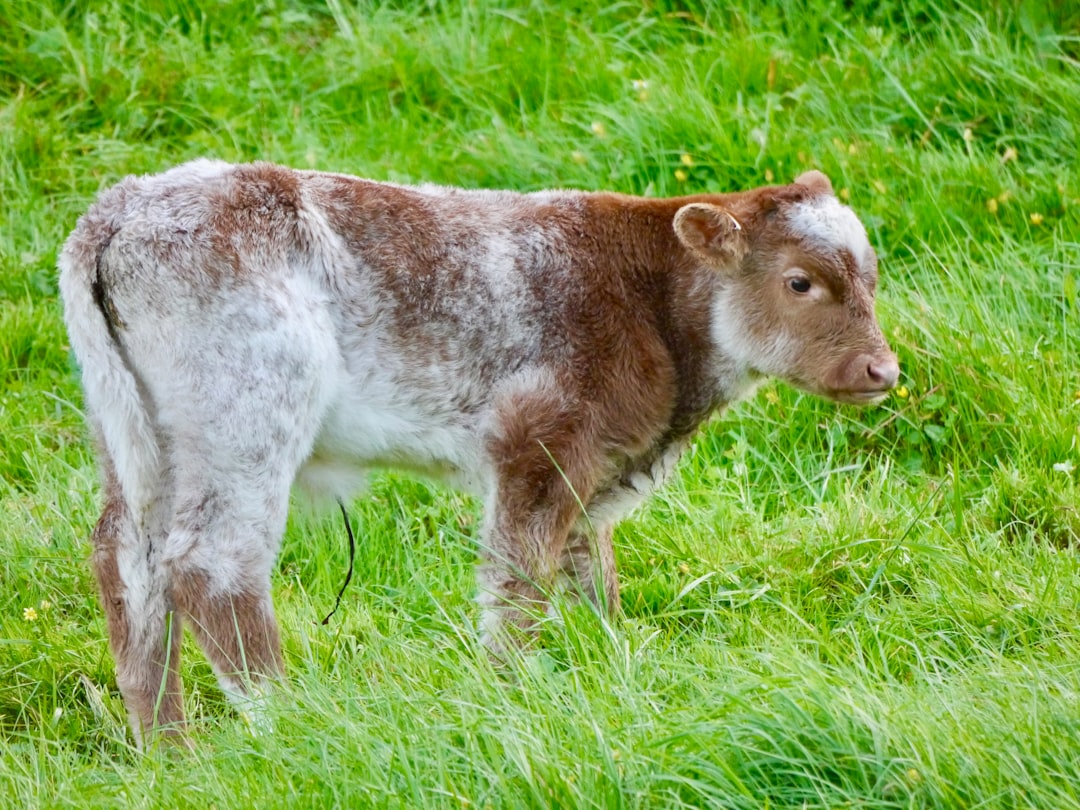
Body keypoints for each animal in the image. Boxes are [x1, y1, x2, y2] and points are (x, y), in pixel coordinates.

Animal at [61, 162, 902, 747]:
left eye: (869, 276)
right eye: (799, 281)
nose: (881, 370)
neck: (649, 296)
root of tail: (120, 209)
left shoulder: (592, 473)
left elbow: (591, 580)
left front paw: (612, 676)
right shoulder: (536, 445)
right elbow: (517, 581)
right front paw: (509, 694)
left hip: (138, 439)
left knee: (125, 561)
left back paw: (171, 753)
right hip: (246, 420)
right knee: (211, 565)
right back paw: (294, 724)